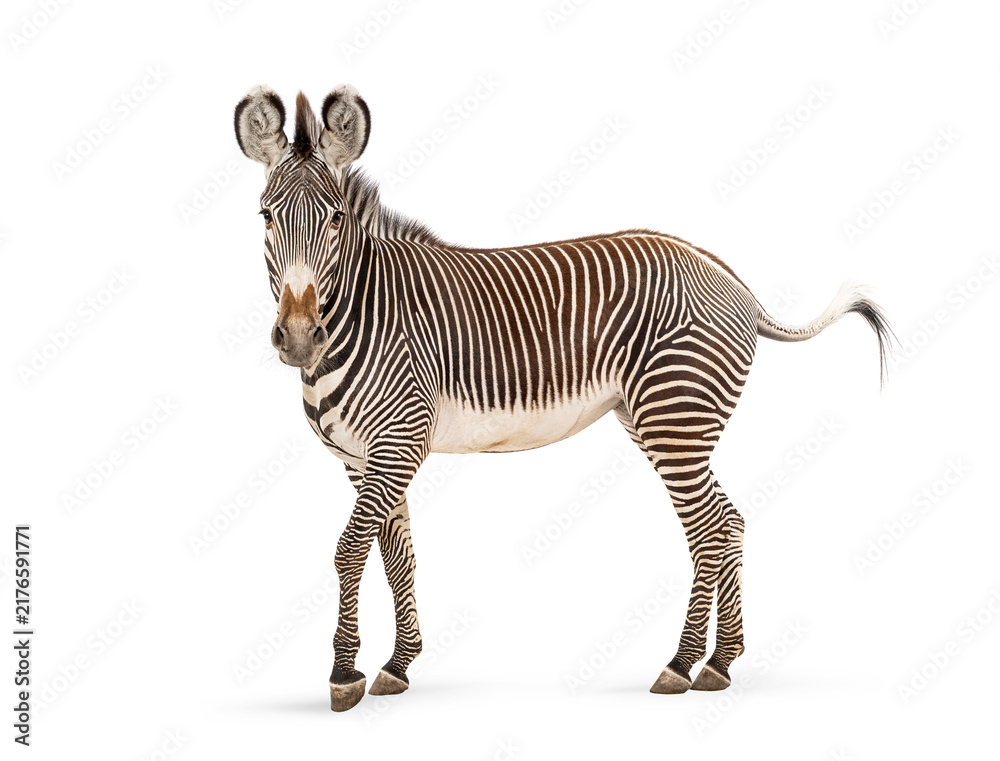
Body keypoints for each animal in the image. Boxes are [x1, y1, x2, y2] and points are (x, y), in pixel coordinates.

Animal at [234, 84, 891, 712]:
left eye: (335, 218)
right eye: (265, 217)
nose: (298, 338)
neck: (360, 310)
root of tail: (731, 280)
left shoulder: (398, 440)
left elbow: (350, 551)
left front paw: (344, 676)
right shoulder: (360, 456)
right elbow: (397, 556)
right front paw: (398, 665)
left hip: (675, 417)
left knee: (710, 528)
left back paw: (685, 664)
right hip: (655, 420)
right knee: (725, 523)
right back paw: (719, 661)